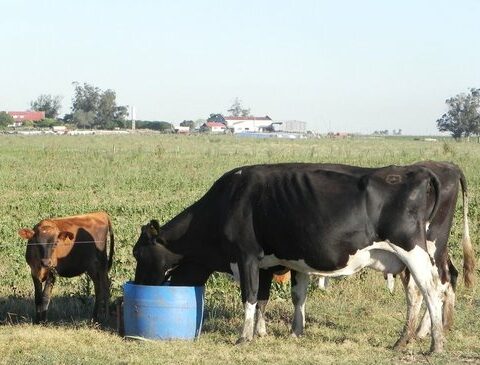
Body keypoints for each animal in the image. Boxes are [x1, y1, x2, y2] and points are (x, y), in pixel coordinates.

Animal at [133, 163, 474, 352]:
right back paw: (405, 340)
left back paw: (435, 344)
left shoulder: (245, 255)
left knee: (432, 289)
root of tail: (418, 170)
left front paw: (244, 337)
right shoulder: (268, 261)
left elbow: (250, 296)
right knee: (420, 292)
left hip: (416, 250)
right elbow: (273, 296)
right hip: (409, 257)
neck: (226, 202)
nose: (139, 286)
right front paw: (268, 332)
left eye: (139, 254)